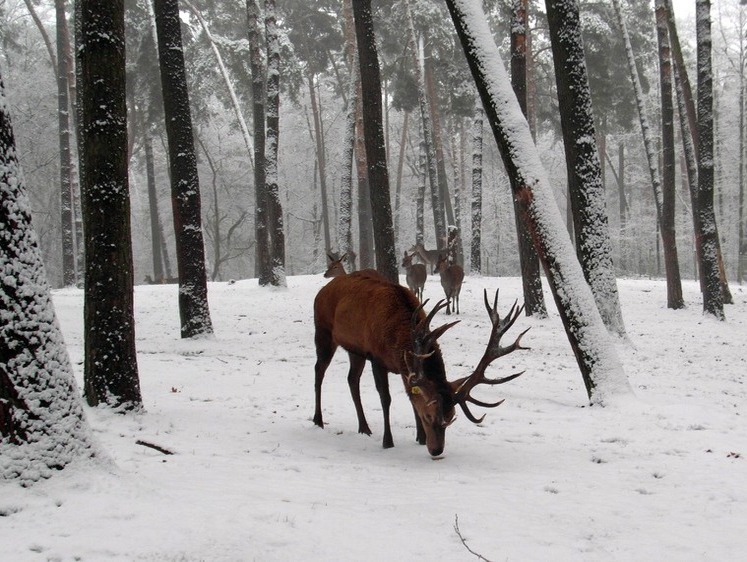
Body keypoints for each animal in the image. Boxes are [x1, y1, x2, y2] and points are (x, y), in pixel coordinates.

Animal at [312, 272, 528, 456]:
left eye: (451, 417)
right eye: (429, 417)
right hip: (323, 331)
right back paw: (318, 420)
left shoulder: (403, 368)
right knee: (319, 371)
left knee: (352, 379)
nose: (437, 451)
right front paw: (388, 441)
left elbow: (411, 397)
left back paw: (364, 427)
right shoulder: (376, 357)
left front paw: (420, 438)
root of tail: (323, 290)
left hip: (354, 350)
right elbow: (385, 398)